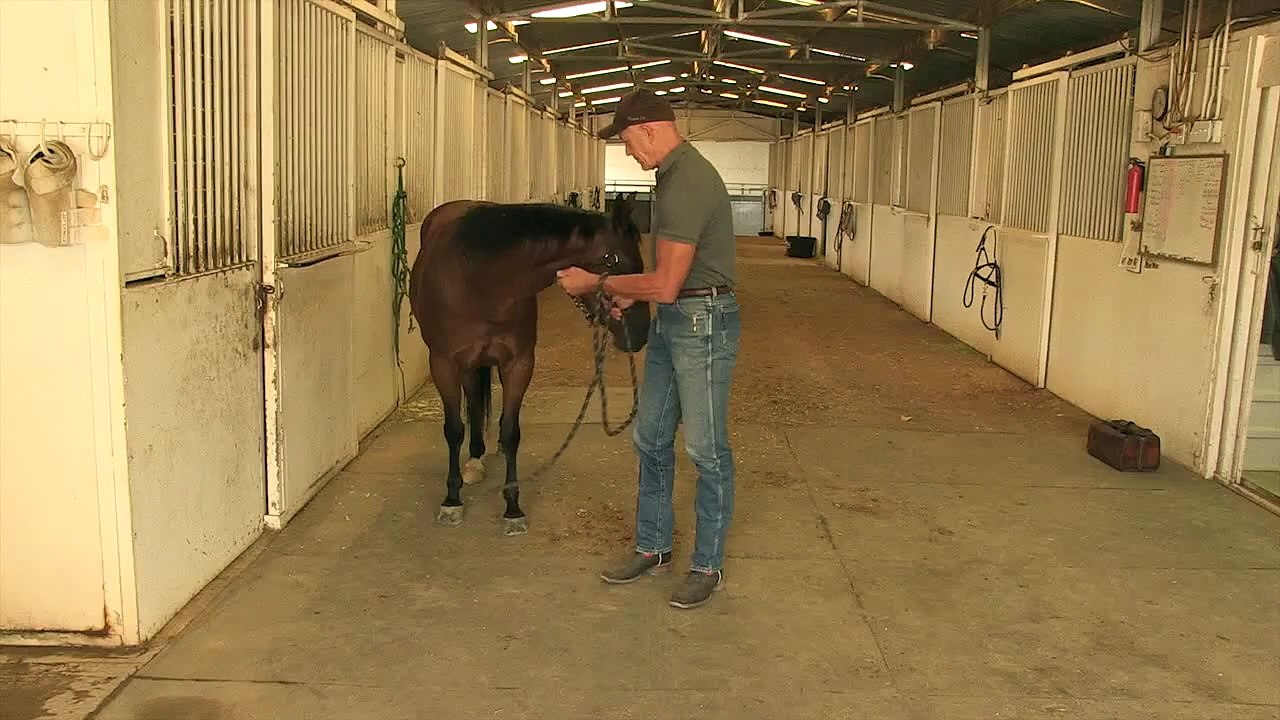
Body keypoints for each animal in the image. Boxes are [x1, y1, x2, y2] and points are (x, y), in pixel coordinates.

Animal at [408, 194, 651, 536]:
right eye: (617, 262)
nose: (641, 332)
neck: (481, 280)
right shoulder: (443, 364)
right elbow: (453, 430)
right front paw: (452, 500)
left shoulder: (519, 363)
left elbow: (512, 433)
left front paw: (513, 508)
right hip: (465, 365)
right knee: (472, 403)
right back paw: (474, 460)